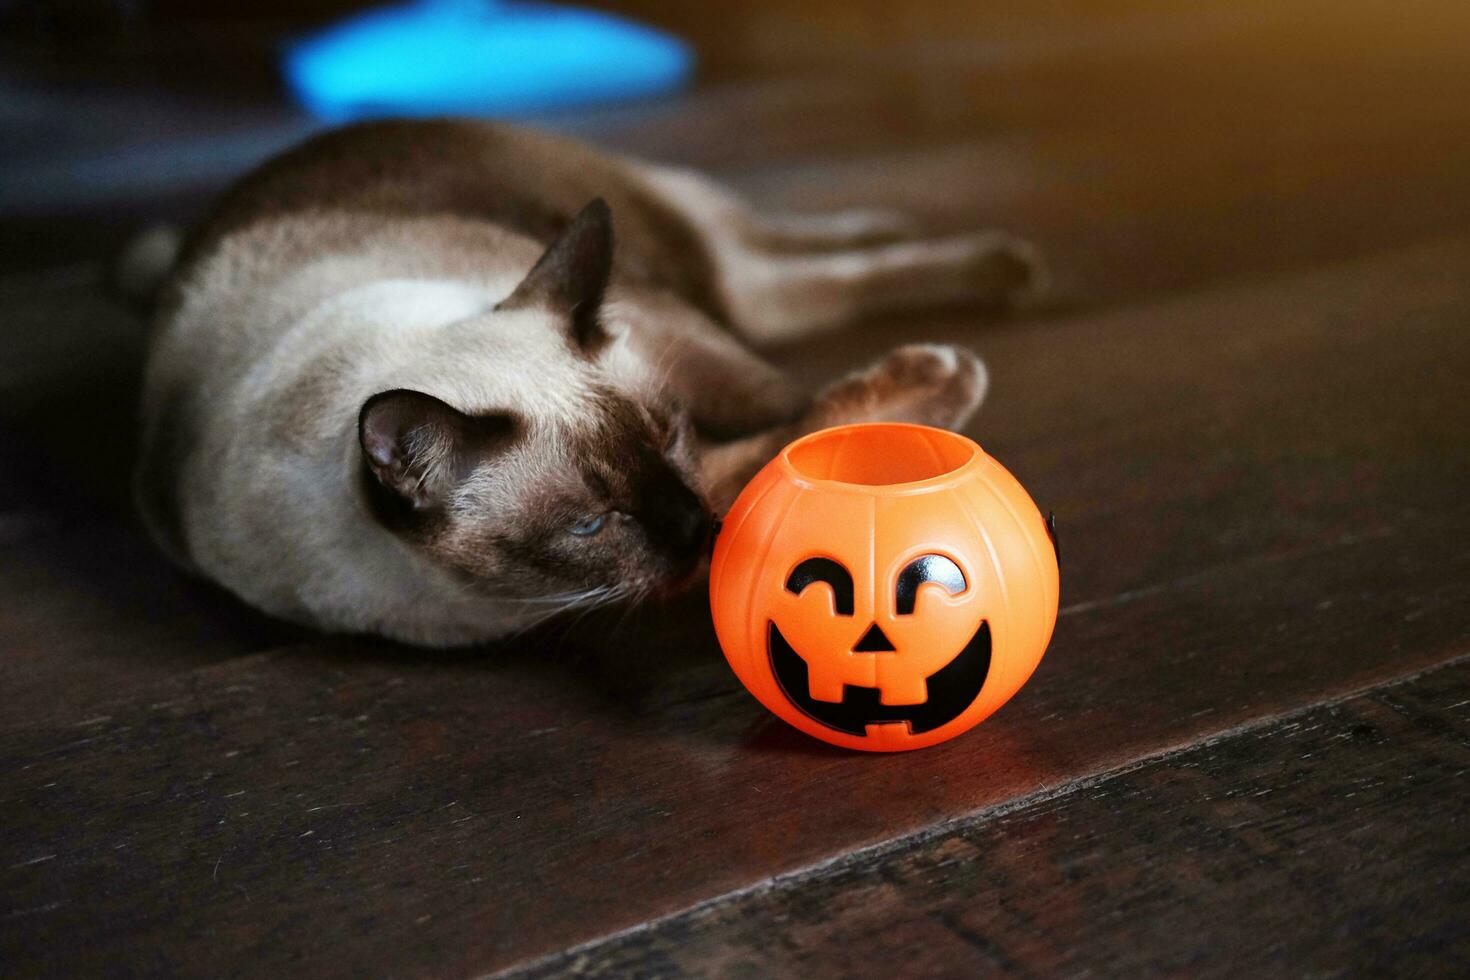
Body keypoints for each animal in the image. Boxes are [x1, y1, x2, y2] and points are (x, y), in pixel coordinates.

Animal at [135, 119, 1034, 646]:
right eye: (591, 526)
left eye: (670, 433)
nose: (695, 530)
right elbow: (770, 461)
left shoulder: (675, 337)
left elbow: (783, 406)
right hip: (727, 288)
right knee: (790, 283)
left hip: (683, 255)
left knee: (797, 255)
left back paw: (984, 257)